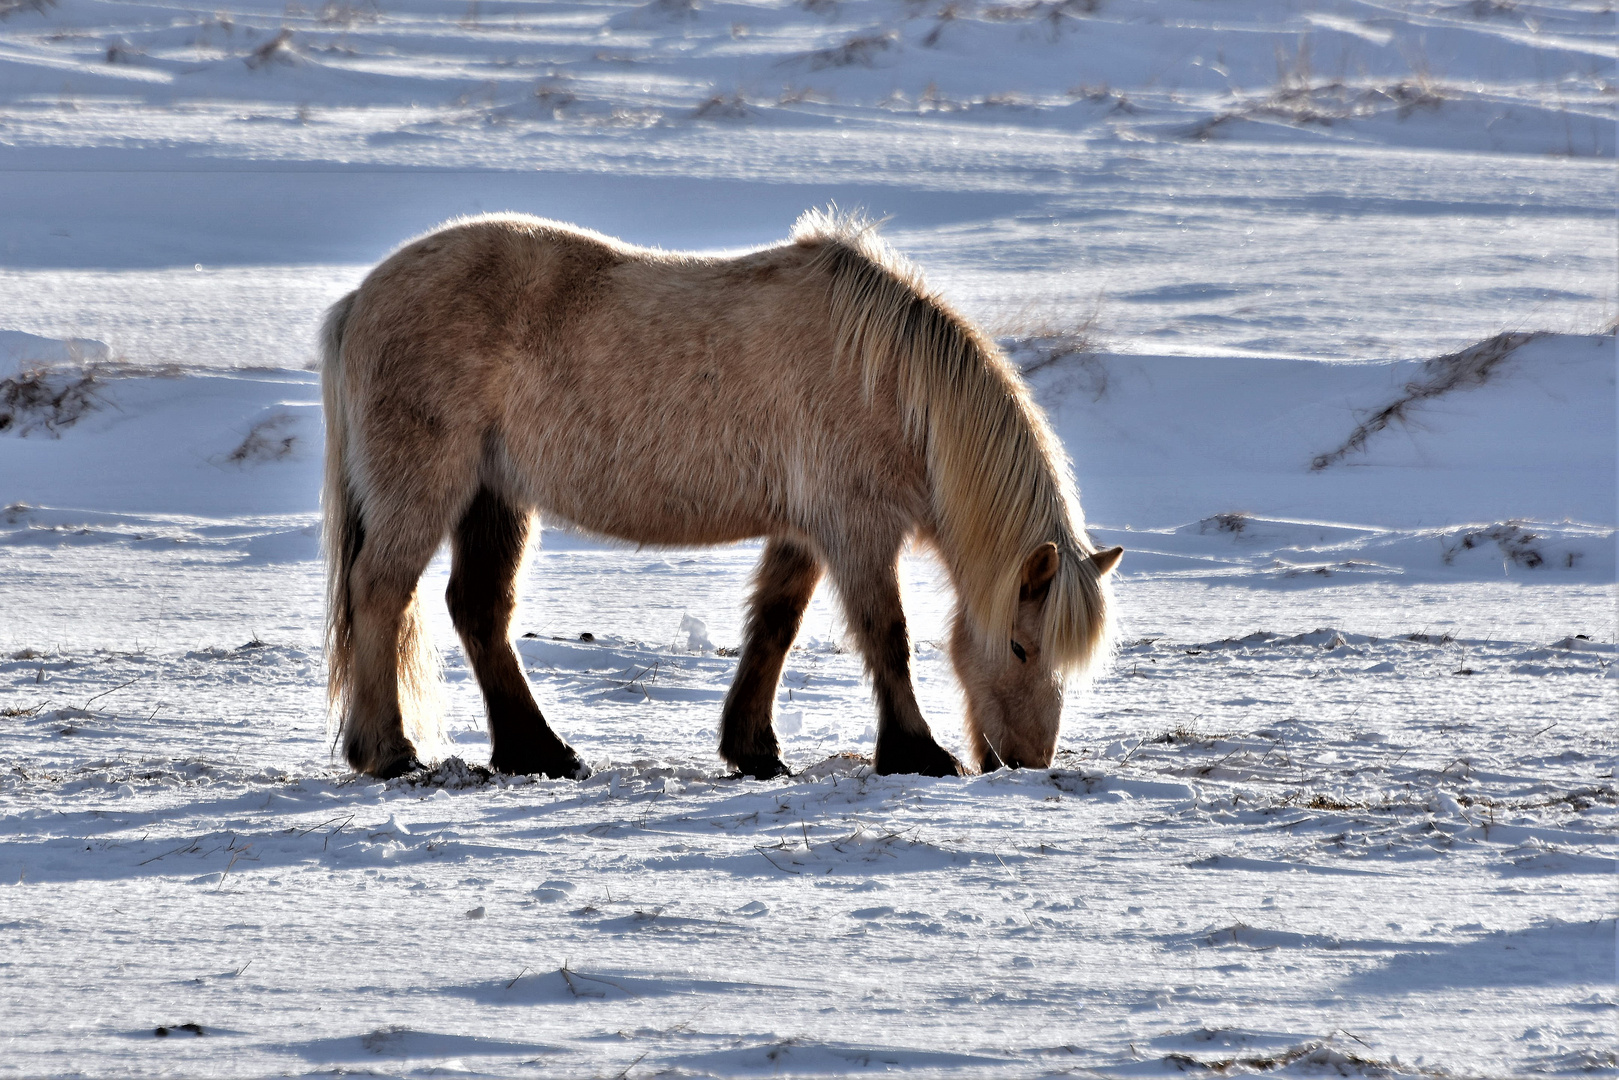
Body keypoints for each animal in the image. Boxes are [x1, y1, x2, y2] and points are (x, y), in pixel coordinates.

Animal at [320, 210, 1120, 780]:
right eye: (1020, 647)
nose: (1028, 761)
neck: (888, 380)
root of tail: (360, 299)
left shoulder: (803, 532)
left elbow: (774, 626)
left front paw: (753, 749)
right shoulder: (856, 528)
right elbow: (886, 636)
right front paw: (916, 753)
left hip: (493, 495)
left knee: (479, 609)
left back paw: (538, 752)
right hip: (428, 485)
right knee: (381, 589)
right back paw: (389, 752)